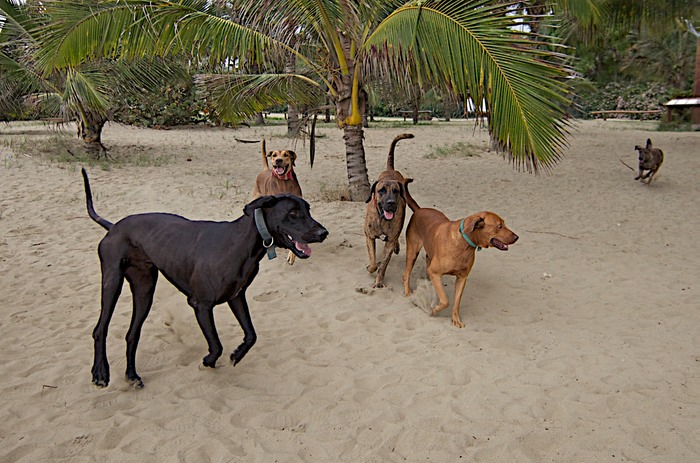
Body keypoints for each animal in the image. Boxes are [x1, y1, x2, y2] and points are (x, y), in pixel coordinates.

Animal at [81, 168, 328, 388]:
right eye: (293, 213)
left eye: (308, 210)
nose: (323, 233)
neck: (242, 243)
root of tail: (113, 227)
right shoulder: (201, 304)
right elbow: (216, 345)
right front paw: (208, 361)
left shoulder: (236, 297)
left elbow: (251, 335)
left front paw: (237, 354)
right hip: (112, 281)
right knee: (100, 329)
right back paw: (100, 373)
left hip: (144, 289)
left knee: (132, 334)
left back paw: (132, 375)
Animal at [364, 132, 418, 288]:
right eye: (381, 190)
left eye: (396, 191)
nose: (391, 203)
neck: (382, 218)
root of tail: (390, 169)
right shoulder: (369, 236)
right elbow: (373, 262)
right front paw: (371, 268)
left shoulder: (389, 242)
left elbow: (383, 265)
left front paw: (379, 281)